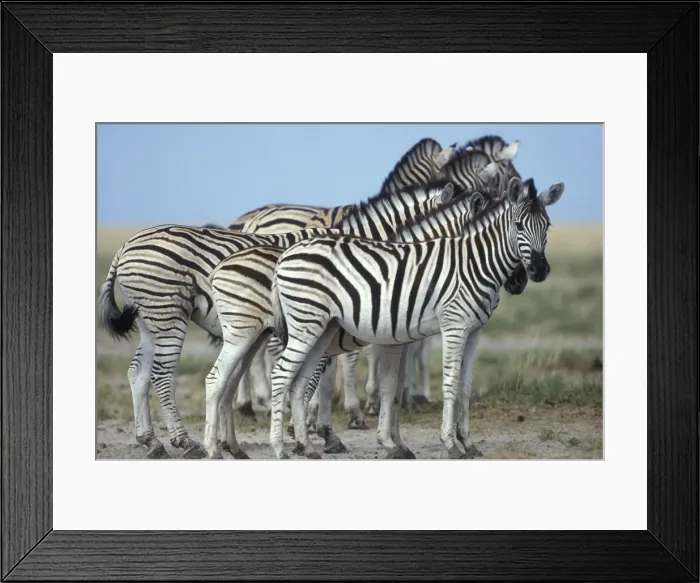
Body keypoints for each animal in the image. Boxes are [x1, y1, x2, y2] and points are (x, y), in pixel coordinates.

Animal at [269, 175, 565, 460]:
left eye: (547, 226)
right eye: (518, 225)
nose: (537, 271)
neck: (472, 262)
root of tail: (286, 255)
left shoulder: (472, 331)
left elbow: (460, 386)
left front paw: (465, 443)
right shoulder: (453, 327)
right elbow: (448, 383)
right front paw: (450, 443)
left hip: (321, 329)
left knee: (299, 382)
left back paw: (307, 446)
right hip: (305, 325)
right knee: (281, 375)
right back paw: (280, 448)